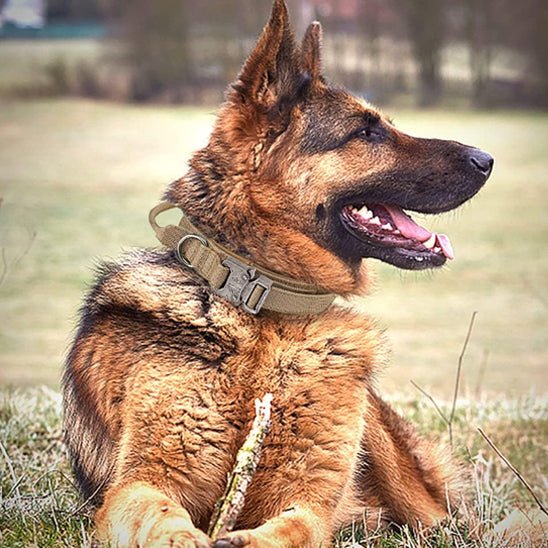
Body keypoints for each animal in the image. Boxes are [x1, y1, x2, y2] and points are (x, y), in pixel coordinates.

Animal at [63, 2, 492, 544]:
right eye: (366, 132)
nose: (487, 159)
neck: (262, 310)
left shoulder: (309, 498)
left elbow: (297, 527)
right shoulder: (139, 484)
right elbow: (165, 522)